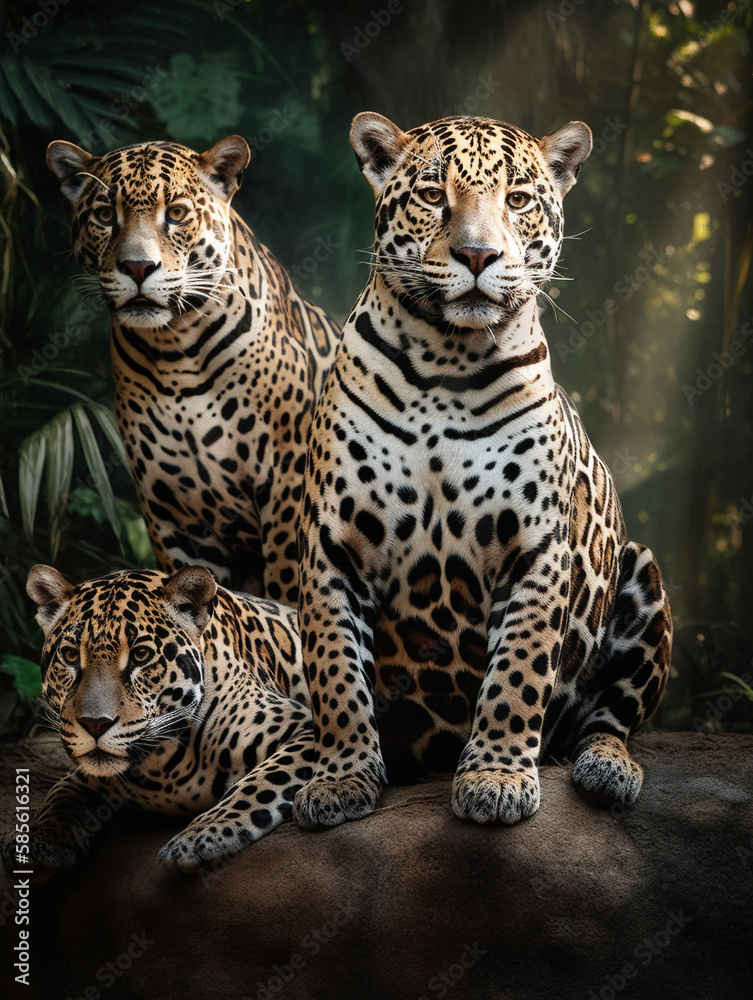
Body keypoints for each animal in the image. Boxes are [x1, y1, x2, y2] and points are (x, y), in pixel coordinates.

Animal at [0, 564, 314, 876]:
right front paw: (39, 837)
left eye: (141, 655)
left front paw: (199, 837)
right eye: (69, 655)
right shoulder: (89, 777)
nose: (94, 724)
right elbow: (61, 796)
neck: (162, 763)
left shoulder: (310, 727)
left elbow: (259, 781)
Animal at [46, 135, 340, 605]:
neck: (176, 352)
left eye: (177, 213)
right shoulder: (172, 512)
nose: (137, 267)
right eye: (106, 216)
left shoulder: (287, 489)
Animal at [292, 113, 672, 831]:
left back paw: (606, 769)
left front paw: (495, 776)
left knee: (612, 718)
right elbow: (335, 676)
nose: (477, 256)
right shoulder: (333, 547)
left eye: (517, 200)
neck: (446, 361)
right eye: (432, 194)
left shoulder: (536, 545)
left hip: (642, 574)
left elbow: (518, 672)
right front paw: (341, 777)